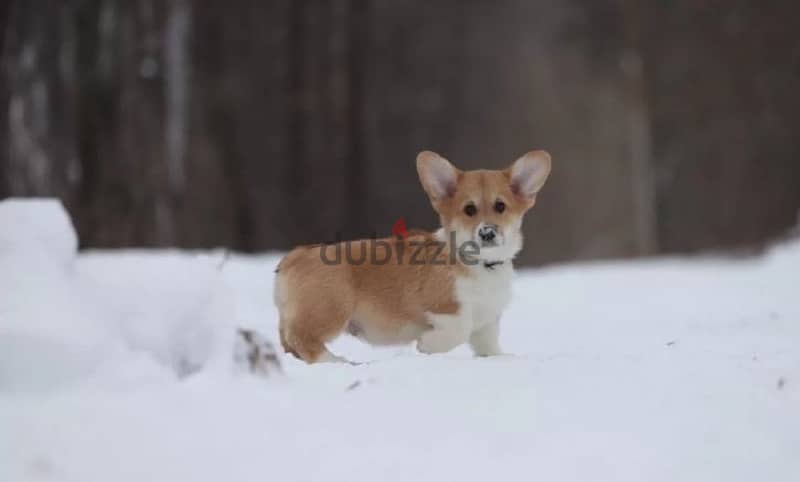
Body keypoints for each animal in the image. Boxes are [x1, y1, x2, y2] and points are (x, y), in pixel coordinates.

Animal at [274, 149, 552, 364]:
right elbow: (459, 330)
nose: (487, 233)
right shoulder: (444, 309)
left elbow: (489, 348)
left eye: (500, 206)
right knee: (302, 340)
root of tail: (291, 258)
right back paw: (338, 362)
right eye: (469, 209)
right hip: (332, 310)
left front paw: (500, 360)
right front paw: (426, 344)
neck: (482, 265)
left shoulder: (487, 324)